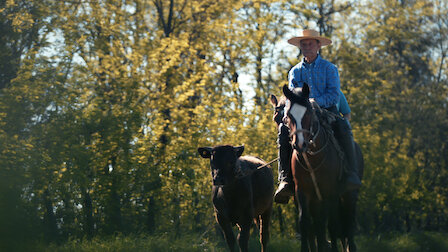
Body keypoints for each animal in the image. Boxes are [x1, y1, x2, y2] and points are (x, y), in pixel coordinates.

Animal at [282, 84, 366, 252]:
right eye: (288, 115)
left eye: (308, 113)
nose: (299, 144)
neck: (313, 159)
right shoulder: (302, 191)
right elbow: (305, 223)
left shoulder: (330, 191)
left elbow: (329, 225)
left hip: (349, 194)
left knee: (347, 222)